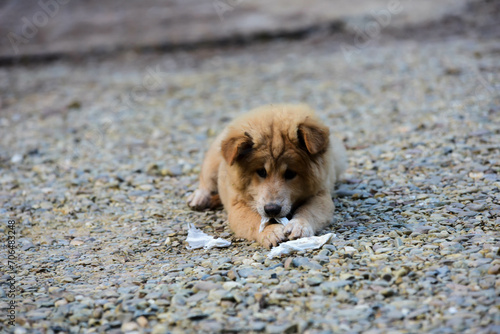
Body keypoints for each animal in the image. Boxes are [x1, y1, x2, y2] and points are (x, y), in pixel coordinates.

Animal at [186, 104, 346, 248]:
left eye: (290, 173)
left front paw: (299, 225)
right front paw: (270, 232)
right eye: (261, 172)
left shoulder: (321, 194)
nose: (272, 210)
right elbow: (254, 220)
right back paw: (199, 198)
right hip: (213, 162)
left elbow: (310, 211)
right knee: (206, 180)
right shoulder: (237, 206)